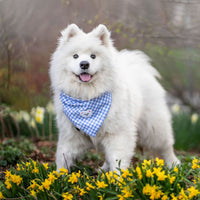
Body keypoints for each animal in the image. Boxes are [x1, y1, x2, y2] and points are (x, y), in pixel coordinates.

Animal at [49, 23, 180, 170]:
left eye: (93, 56)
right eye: (75, 56)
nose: (84, 64)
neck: (87, 97)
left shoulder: (118, 133)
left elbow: (118, 159)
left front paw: (118, 176)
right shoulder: (71, 134)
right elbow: (63, 156)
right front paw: (58, 175)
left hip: (153, 127)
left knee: (166, 146)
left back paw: (173, 163)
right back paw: (103, 170)